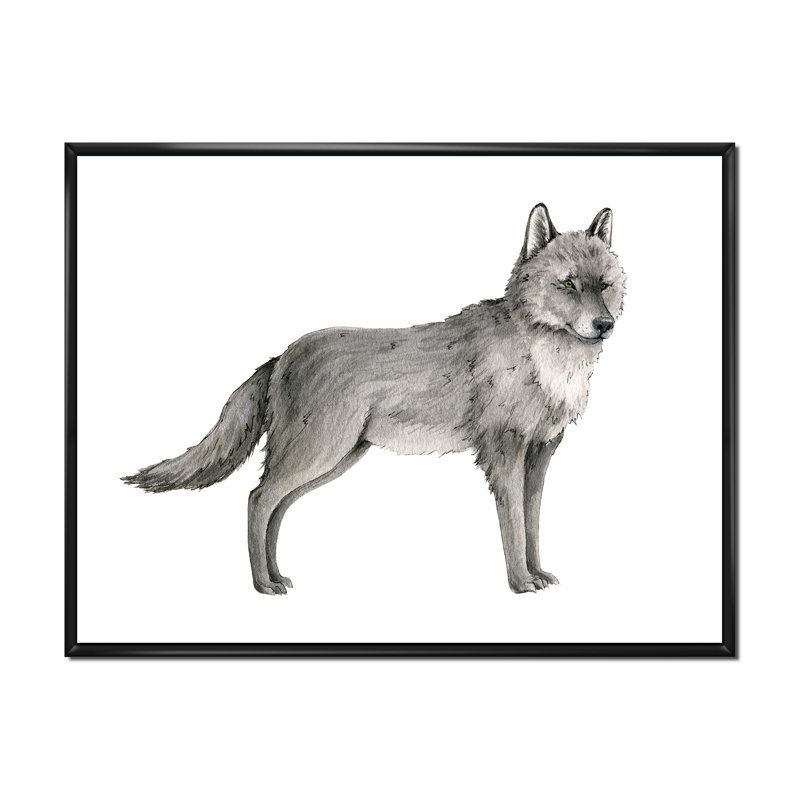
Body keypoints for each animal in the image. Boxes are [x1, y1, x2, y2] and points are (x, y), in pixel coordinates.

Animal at [123, 203, 625, 595]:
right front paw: (520, 582)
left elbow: (533, 523)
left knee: (272, 508)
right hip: (318, 455)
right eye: (568, 284)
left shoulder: (540, 453)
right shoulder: (503, 453)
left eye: (603, 285)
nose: (605, 325)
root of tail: (282, 355)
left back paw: (277, 576)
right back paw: (261, 584)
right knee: (256, 500)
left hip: (333, 461)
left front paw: (538, 574)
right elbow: (514, 529)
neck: (545, 362)